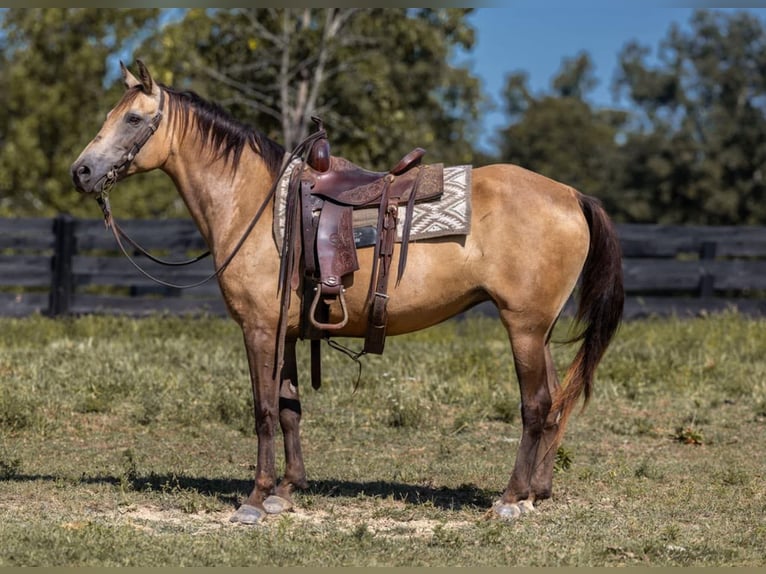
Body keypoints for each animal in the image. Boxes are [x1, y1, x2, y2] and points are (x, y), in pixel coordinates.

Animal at [71, 60, 624, 524]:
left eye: (134, 119)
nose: (82, 172)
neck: (253, 203)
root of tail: (571, 194)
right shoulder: (287, 332)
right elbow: (289, 408)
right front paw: (286, 491)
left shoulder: (259, 329)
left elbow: (263, 409)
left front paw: (255, 498)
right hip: (540, 330)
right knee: (554, 405)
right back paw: (535, 494)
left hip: (524, 326)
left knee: (535, 405)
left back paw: (509, 499)